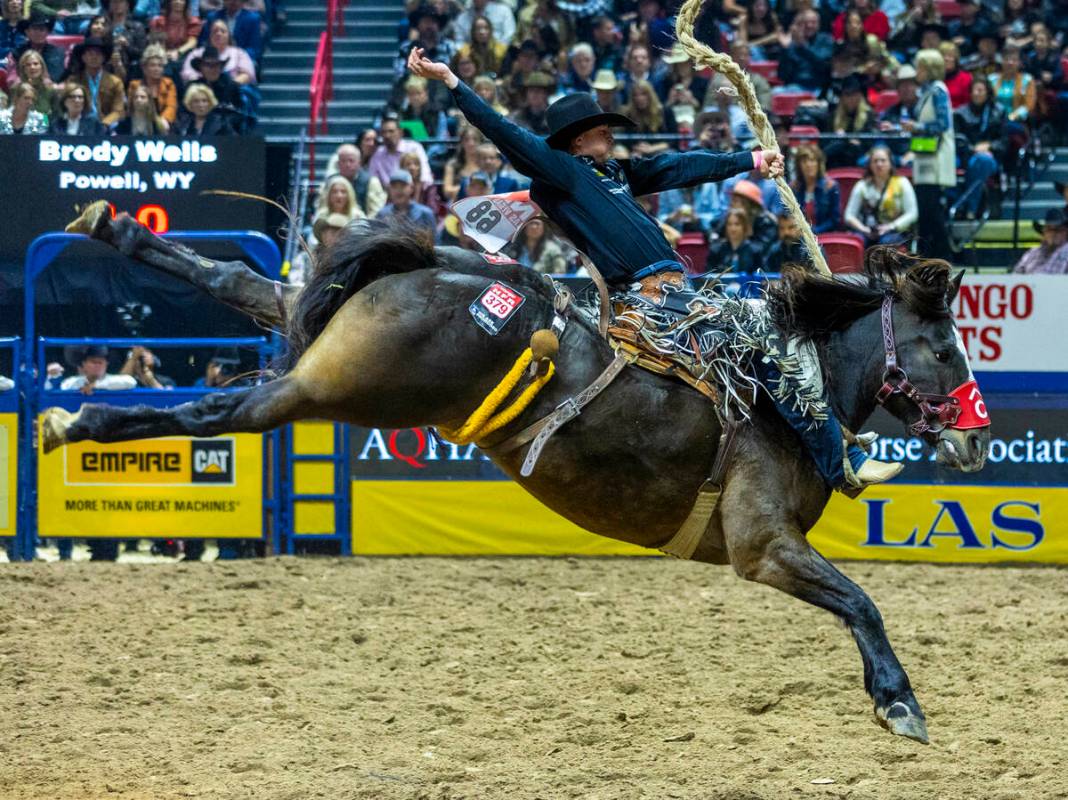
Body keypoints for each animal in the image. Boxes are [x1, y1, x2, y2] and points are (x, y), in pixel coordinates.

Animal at [43, 199, 991, 743]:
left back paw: (110, 230)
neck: (778, 383)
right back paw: (76, 419)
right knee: (222, 415)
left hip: (326, 344)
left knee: (246, 283)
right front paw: (899, 703)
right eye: (944, 347)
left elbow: (856, 600)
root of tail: (443, 265)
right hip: (340, 389)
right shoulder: (762, 545)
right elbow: (860, 599)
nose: (979, 440)